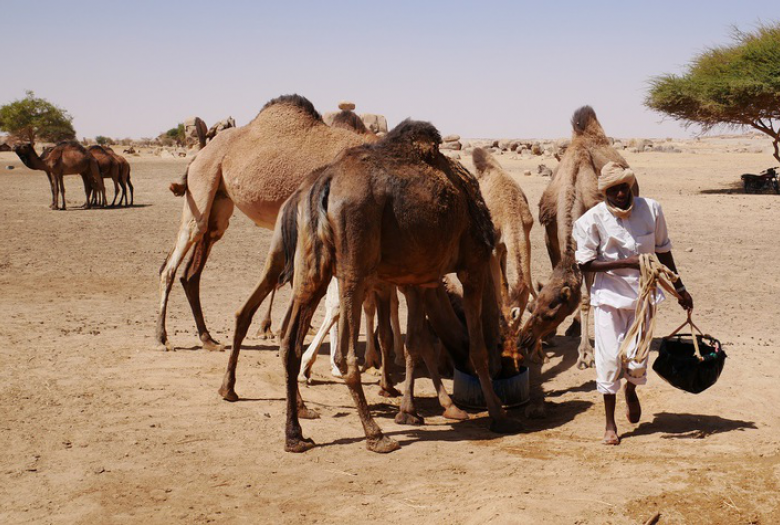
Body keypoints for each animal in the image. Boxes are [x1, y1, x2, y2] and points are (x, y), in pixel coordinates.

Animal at [157, 94, 376, 352]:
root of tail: (197, 157)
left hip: (219, 204)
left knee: (192, 271)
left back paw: (208, 338)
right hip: (202, 185)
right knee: (172, 263)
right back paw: (162, 338)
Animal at [219, 119, 524, 454]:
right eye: (511, 351)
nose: (510, 370)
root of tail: (321, 185)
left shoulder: (418, 279)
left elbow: (415, 343)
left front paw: (410, 410)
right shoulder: (473, 263)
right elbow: (475, 347)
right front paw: (497, 414)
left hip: (312, 267)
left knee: (286, 337)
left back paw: (293, 432)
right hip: (354, 260)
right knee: (344, 352)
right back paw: (375, 434)